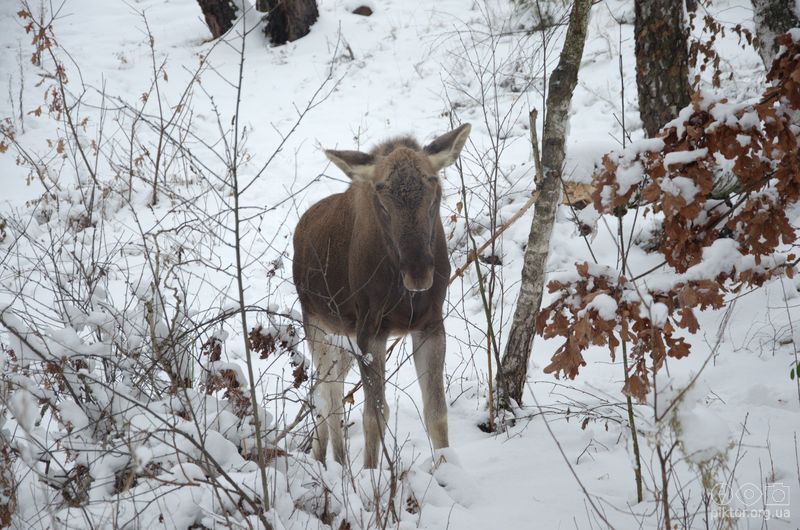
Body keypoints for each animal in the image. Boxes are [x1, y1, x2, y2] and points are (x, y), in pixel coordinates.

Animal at [292, 122, 468, 466]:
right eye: (381, 201)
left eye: (435, 192)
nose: (418, 272)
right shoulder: (371, 329)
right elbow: (374, 414)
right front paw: (371, 472)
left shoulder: (430, 324)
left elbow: (436, 411)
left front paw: (444, 467)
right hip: (316, 323)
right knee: (327, 395)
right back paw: (335, 463)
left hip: (343, 338)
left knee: (326, 388)